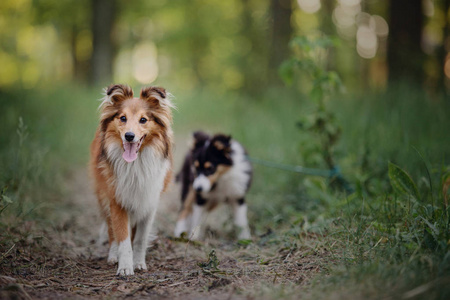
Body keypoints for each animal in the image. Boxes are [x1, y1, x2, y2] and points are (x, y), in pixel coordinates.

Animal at [89, 83, 174, 276]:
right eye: (122, 118)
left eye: (143, 120)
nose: (129, 136)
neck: (136, 163)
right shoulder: (117, 200)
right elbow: (122, 237)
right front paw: (126, 267)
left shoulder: (148, 202)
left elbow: (140, 239)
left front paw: (139, 262)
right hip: (103, 196)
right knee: (111, 231)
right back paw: (113, 255)